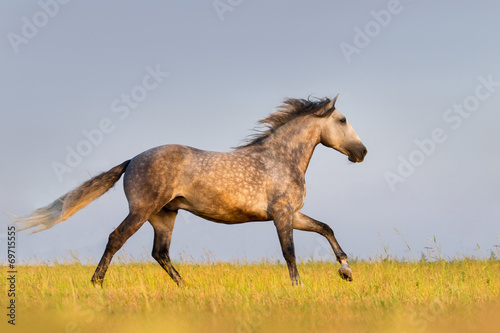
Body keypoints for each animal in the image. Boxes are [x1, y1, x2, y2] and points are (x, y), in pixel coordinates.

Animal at [16, 94, 368, 286]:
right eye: (343, 120)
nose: (362, 152)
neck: (280, 158)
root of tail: (132, 160)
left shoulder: (293, 214)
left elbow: (325, 228)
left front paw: (346, 271)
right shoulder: (282, 214)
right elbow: (289, 251)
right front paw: (299, 286)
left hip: (164, 216)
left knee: (160, 252)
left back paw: (186, 287)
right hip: (142, 210)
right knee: (117, 239)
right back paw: (96, 283)